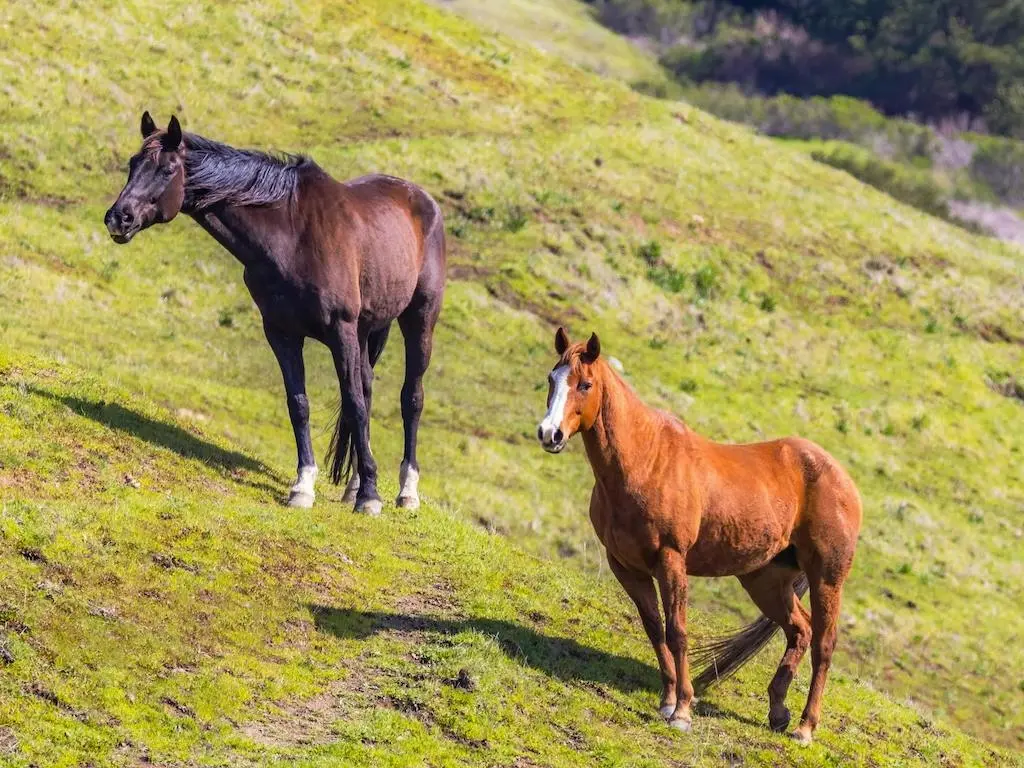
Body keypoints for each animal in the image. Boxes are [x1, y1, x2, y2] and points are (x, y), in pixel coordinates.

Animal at [105, 112, 446, 518]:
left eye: (167, 168)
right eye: (132, 164)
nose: (118, 218)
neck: (293, 238)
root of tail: (421, 198)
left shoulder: (341, 330)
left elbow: (354, 404)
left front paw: (370, 497)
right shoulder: (282, 333)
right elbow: (300, 404)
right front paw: (304, 487)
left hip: (417, 320)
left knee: (411, 398)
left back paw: (406, 492)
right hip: (367, 330)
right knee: (367, 387)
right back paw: (354, 485)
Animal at [540, 327, 860, 741]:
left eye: (585, 384)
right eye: (552, 379)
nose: (550, 434)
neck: (646, 461)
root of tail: (842, 480)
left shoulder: (671, 560)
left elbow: (678, 631)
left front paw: (682, 711)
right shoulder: (626, 566)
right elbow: (654, 628)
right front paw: (667, 700)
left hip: (826, 578)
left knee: (823, 643)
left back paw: (805, 727)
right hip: (765, 580)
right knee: (799, 630)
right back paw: (777, 712)